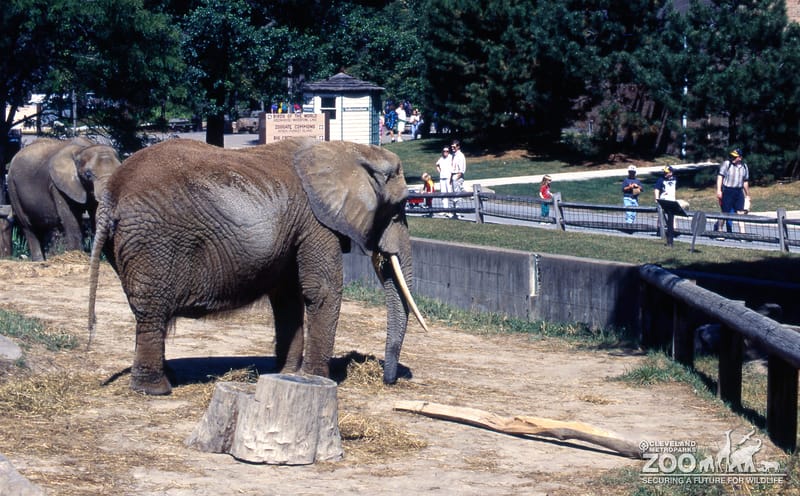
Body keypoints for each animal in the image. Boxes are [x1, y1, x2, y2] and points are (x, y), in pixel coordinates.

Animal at [88, 137, 428, 395]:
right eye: (399, 208)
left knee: (145, 311)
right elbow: (321, 290)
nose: (388, 379)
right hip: (154, 243)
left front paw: (288, 373)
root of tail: (111, 195)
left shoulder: (297, 227)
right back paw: (155, 390)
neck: (348, 149)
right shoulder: (316, 221)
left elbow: (288, 297)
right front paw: (317, 379)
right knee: (152, 310)